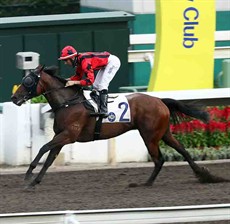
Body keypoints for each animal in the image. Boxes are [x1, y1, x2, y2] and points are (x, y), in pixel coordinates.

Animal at [11, 65, 227, 188]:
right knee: (181, 150)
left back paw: (146, 183)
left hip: (150, 136)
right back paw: (203, 175)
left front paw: (28, 175)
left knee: (159, 159)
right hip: (163, 133)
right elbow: (49, 158)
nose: (14, 98)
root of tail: (160, 101)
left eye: (28, 81)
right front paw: (35, 181)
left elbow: (43, 148)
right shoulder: (62, 137)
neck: (68, 102)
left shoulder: (68, 135)